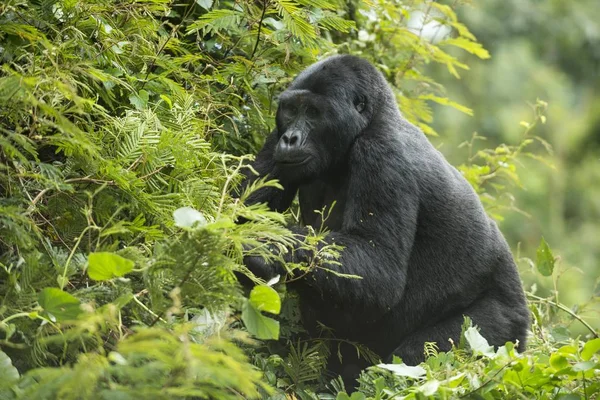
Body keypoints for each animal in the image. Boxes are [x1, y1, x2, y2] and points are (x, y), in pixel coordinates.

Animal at [239, 55, 528, 384]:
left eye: (313, 112)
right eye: (290, 110)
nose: (290, 138)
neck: (370, 122)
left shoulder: (382, 154)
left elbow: (380, 270)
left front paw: (269, 245)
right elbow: (243, 208)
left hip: (502, 332)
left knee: (423, 352)